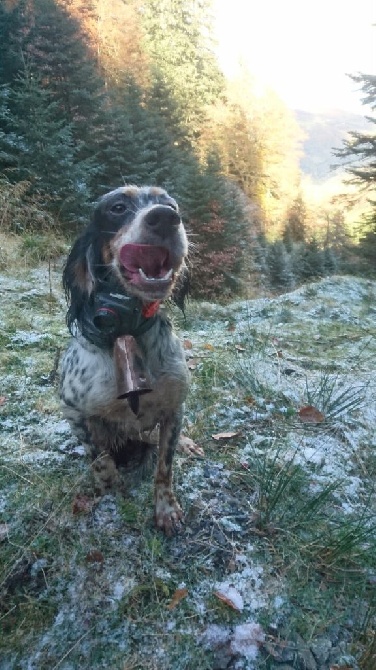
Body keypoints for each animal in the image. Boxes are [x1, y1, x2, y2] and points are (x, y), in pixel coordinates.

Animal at [61, 186, 192, 540]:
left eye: (171, 204)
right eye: (118, 207)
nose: (166, 217)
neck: (128, 329)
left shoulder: (174, 408)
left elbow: (164, 467)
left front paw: (166, 510)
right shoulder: (75, 412)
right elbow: (102, 463)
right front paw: (114, 493)